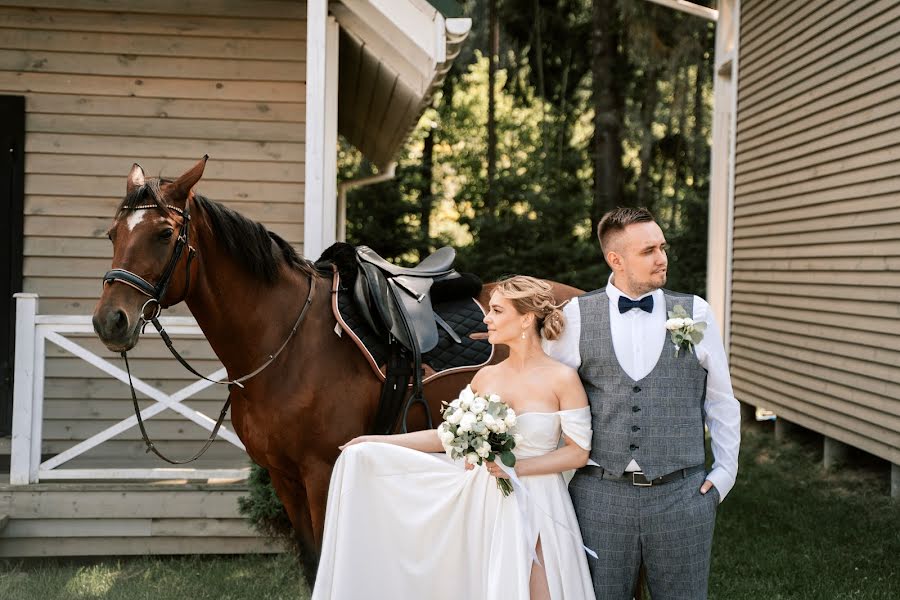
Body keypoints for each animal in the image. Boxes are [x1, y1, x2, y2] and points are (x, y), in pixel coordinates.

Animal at [93, 156, 584, 580]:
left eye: (163, 234)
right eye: (113, 234)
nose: (109, 320)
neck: (287, 344)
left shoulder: (321, 471)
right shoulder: (284, 477)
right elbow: (311, 561)